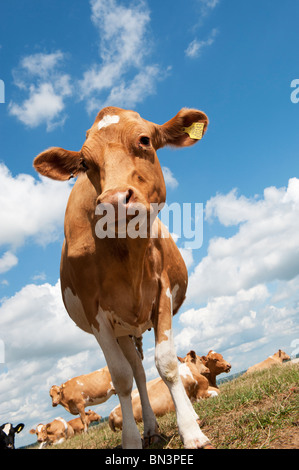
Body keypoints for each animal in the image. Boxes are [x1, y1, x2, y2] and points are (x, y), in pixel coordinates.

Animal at [33, 105, 211, 448]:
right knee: (138, 373)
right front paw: (131, 439)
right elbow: (122, 377)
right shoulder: (97, 315)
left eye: (144, 140)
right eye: (84, 163)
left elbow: (168, 364)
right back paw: (150, 429)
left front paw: (191, 432)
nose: (114, 201)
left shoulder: (161, 294)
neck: (126, 253)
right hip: (123, 331)